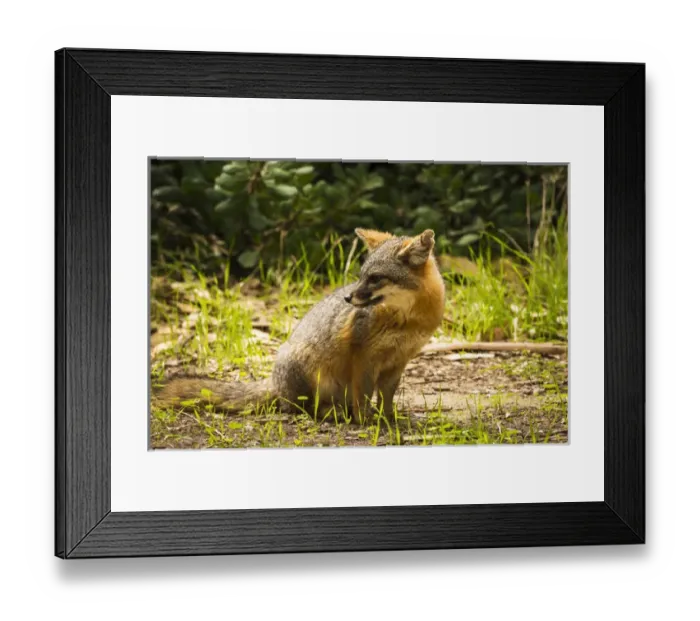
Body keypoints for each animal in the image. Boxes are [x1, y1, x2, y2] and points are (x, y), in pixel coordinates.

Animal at [154, 227, 445, 424]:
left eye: (375, 279)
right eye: (362, 276)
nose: (348, 298)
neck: (407, 320)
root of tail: (273, 381)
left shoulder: (398, 361)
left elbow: (386, 397)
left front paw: (389, 419)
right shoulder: (364, 358)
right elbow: (363, 396)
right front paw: (366, 421)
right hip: (307, 368)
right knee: (300, 407)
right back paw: (334, 413)